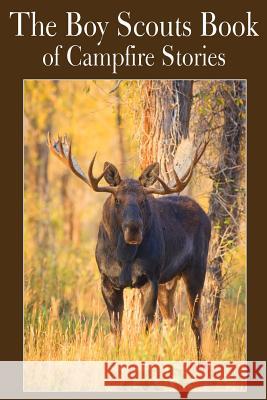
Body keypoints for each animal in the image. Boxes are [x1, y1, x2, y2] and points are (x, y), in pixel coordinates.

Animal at [47, 132, 211, 360]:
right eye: (117, 199)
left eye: (143, 200)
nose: (134, 229)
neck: (124, 258)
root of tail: (204, 214)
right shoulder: (107, 280)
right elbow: (116, 328)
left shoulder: (150, 277)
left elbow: (146, 326)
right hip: (168, 281)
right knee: (171, 319)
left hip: (195, 269)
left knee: (196, 321)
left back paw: (200, 358)